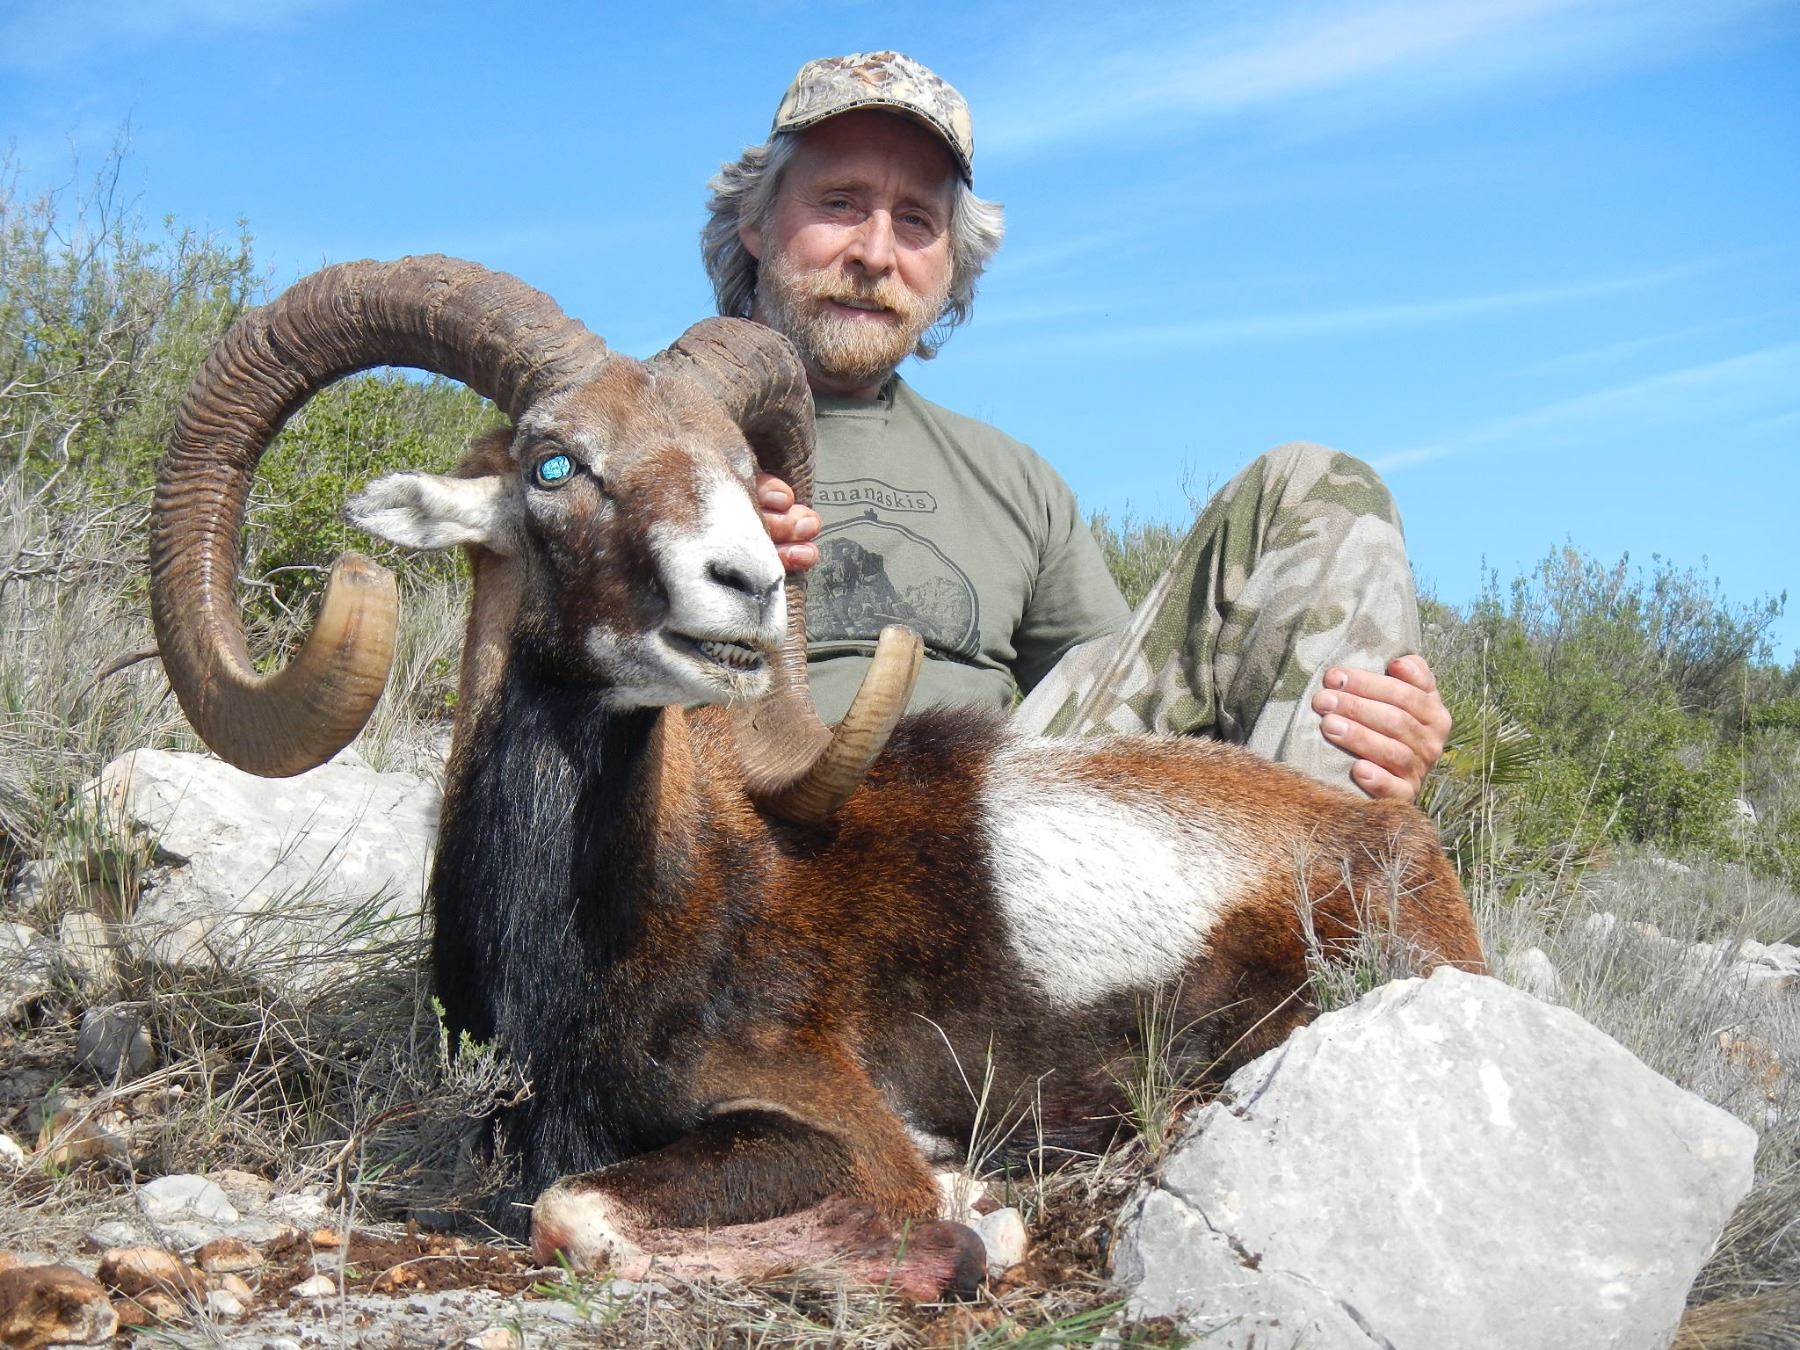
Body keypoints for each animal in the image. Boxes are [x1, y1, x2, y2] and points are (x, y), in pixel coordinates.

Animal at [149, 256, 1484, 1298]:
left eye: (746, 476)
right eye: (554, 465)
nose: (746, 583)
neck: (622, 923)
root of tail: (1401, 853)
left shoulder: (826, 1126)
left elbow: (576, 1213)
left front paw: (972, 1220)